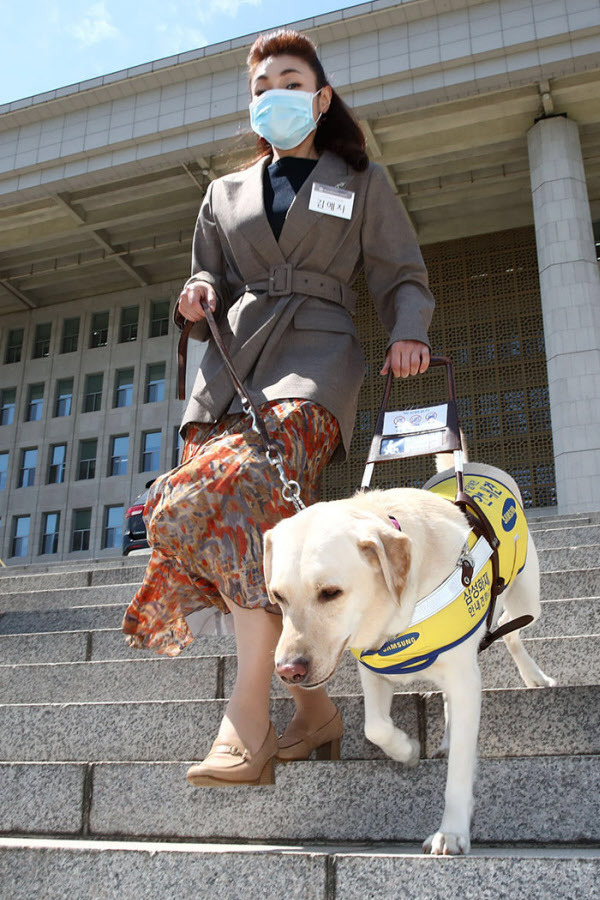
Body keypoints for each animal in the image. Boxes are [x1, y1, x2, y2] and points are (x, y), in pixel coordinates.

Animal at [264, 464, 556, 856]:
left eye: (330, 593)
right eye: (278, 596)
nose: (288, 671)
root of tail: (475, 467)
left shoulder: (465, 677)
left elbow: (460, 770)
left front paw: (452, 831)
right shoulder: (373, 668)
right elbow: (375, 727)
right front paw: (408, 750)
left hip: (527, 599)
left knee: (511, 630)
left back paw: (533, 676)